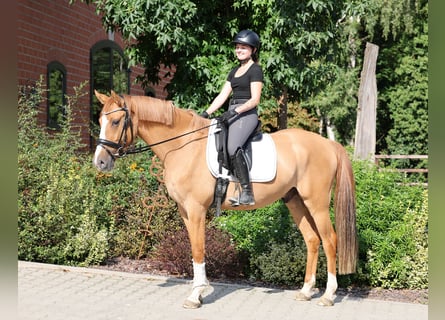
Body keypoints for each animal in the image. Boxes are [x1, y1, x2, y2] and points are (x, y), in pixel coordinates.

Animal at [93, 90, 358, 308]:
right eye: (100, 121)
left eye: (115, 121)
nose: (100, 162)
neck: (183, 145)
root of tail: (329, 144)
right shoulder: (185, 211)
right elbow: (194, 250)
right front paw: (199, 292)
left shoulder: (196, 210)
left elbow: (198, 249)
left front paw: (196, 295)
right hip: (295, 200)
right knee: (312, 240)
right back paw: (305, 291)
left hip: (317, 203)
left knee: (329, 239)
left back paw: (328, 295)